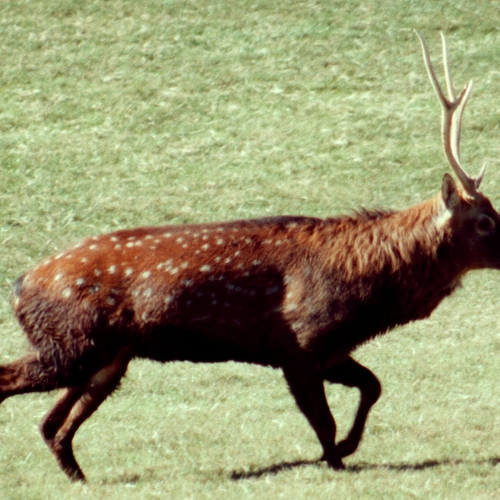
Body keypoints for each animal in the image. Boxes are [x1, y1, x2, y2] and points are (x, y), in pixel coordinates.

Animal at [1, 32, 498, 480]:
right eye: (484, 221)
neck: (370, 294)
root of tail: (19, 285)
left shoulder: (331, 348)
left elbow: (372, 386)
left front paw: (346, 448)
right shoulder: (298, 341)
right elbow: (324, 420)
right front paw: (335, 458)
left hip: (107, 355)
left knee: (51, 425)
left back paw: (80, 477)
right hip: (70, 343)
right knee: (20, 392)